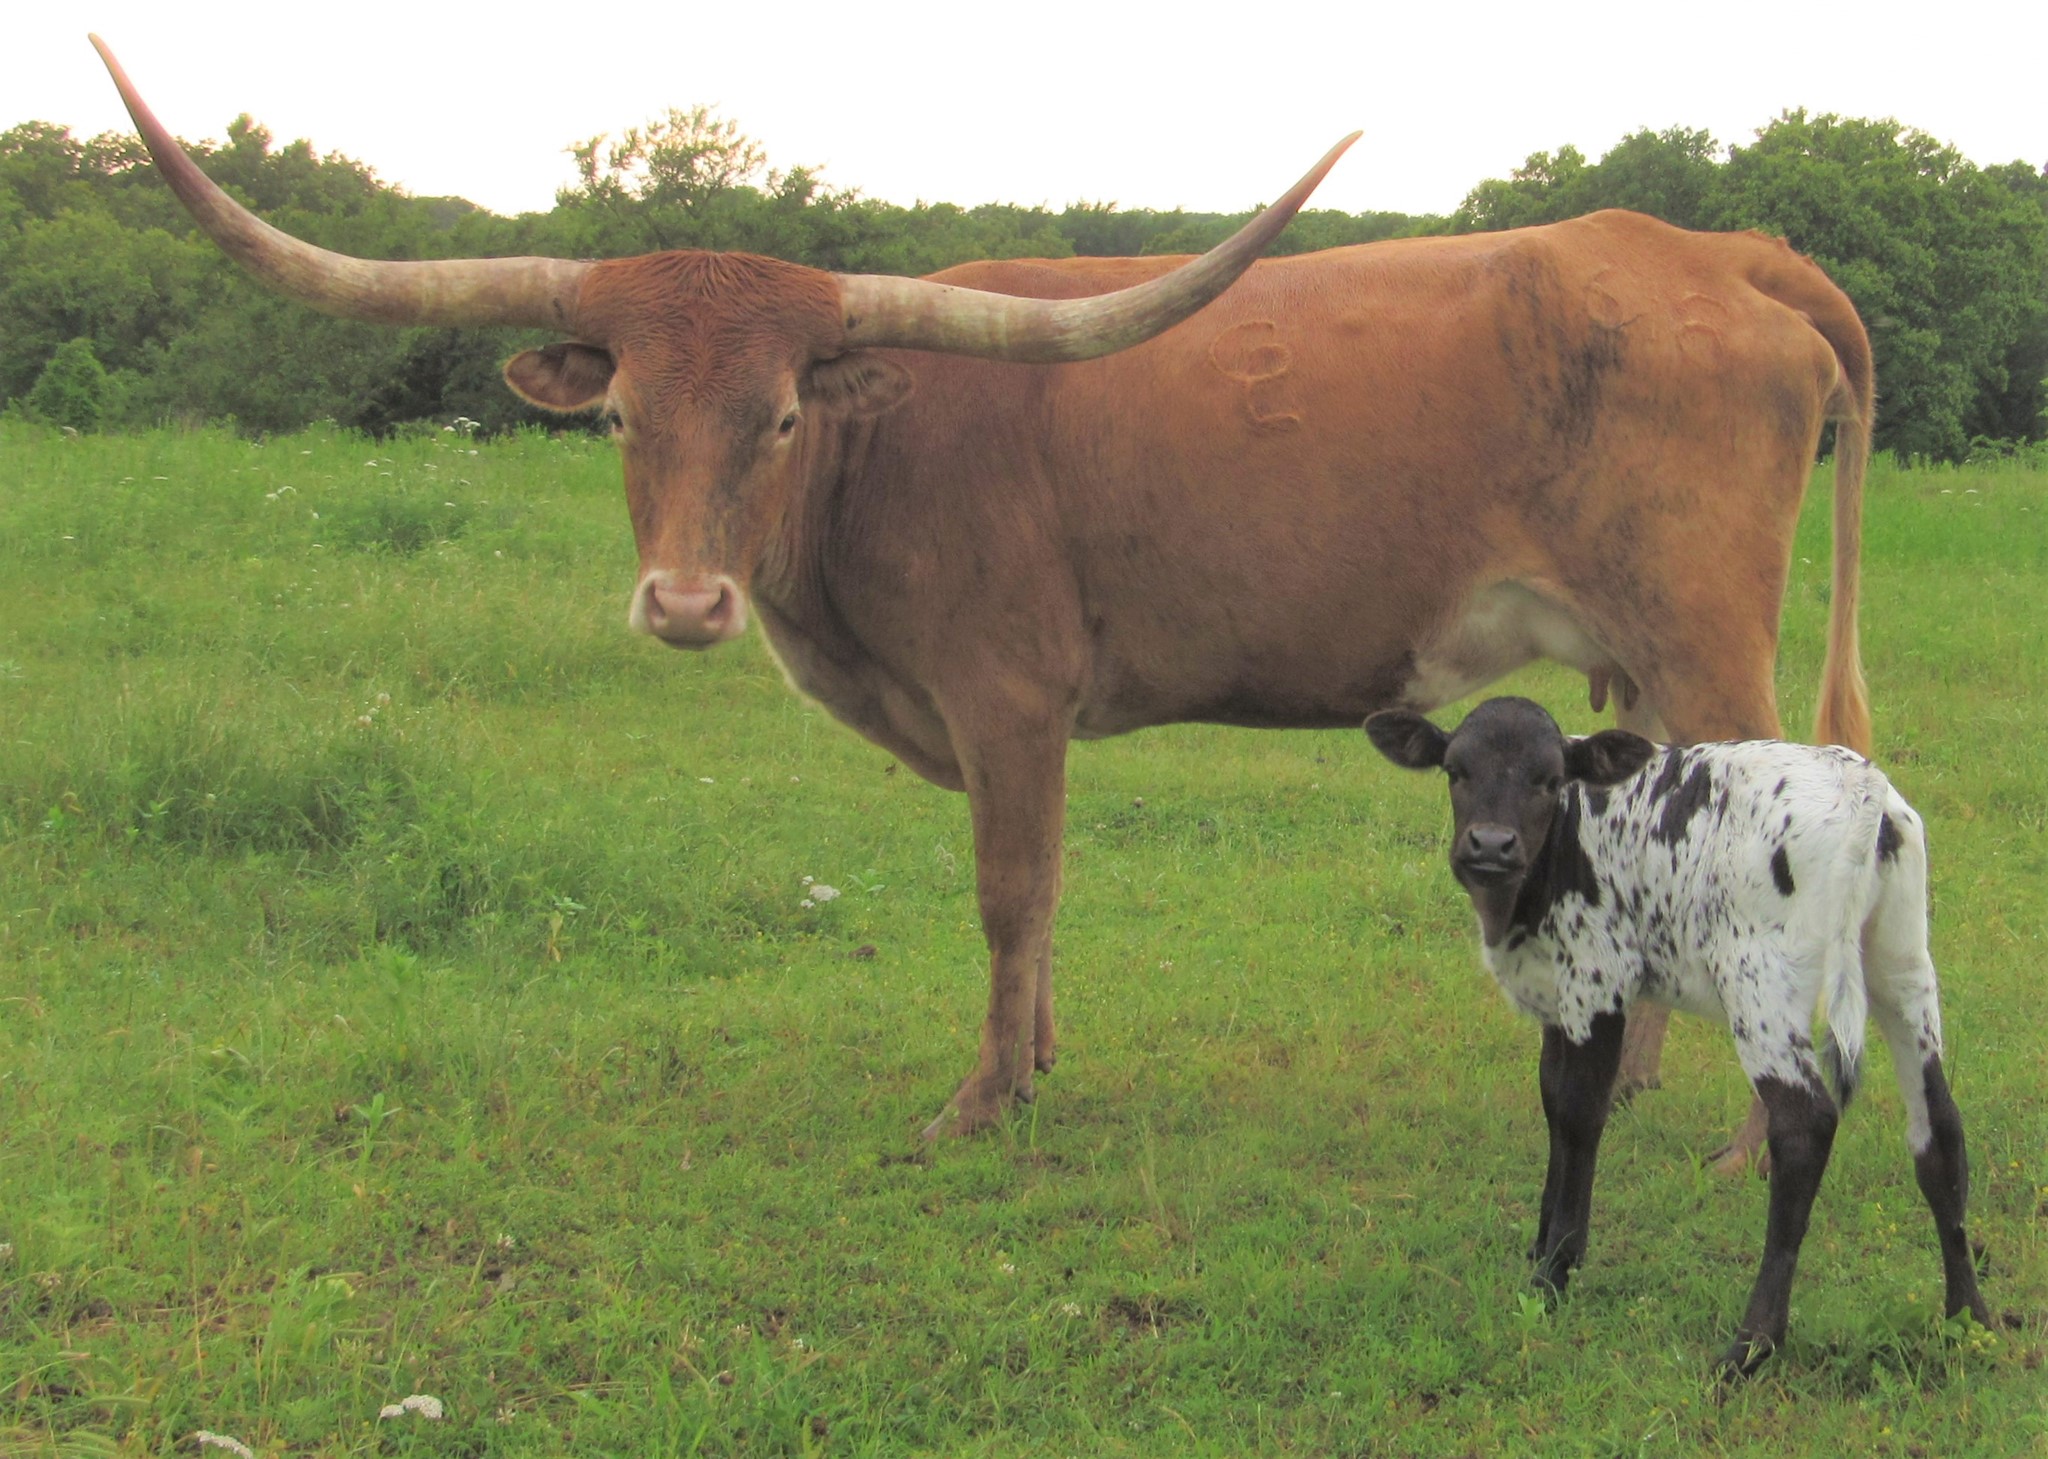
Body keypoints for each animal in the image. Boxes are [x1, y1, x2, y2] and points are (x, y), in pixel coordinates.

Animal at [96, 38, 1872, 1162]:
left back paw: (1742, 1134)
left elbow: (1012, 888)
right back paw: (1626, 1086)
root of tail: (1718, 248)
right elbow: (1047, 891)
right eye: (619, 419)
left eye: (783, 416)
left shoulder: (1007, 695)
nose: (685, 602)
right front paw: (1037, 1062)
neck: (884, 451)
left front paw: (983, 1098)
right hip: (1641, 658)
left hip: (1710, 636)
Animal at [1363, 697, 1989, 1378]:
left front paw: (1555, 1273)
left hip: (1760, 985)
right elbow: (1552, 1102)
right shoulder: (1558, 997)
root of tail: (1859, 785)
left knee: (1805, 1126)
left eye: (1549, 780)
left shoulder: (1598, 981)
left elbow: (1580, 1115)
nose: (1491, 845)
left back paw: (1752, 1345)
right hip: (1901, 963)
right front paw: (1543, 1249)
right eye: (1456, 770)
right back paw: (1969, 1320)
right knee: (1938, 1126)